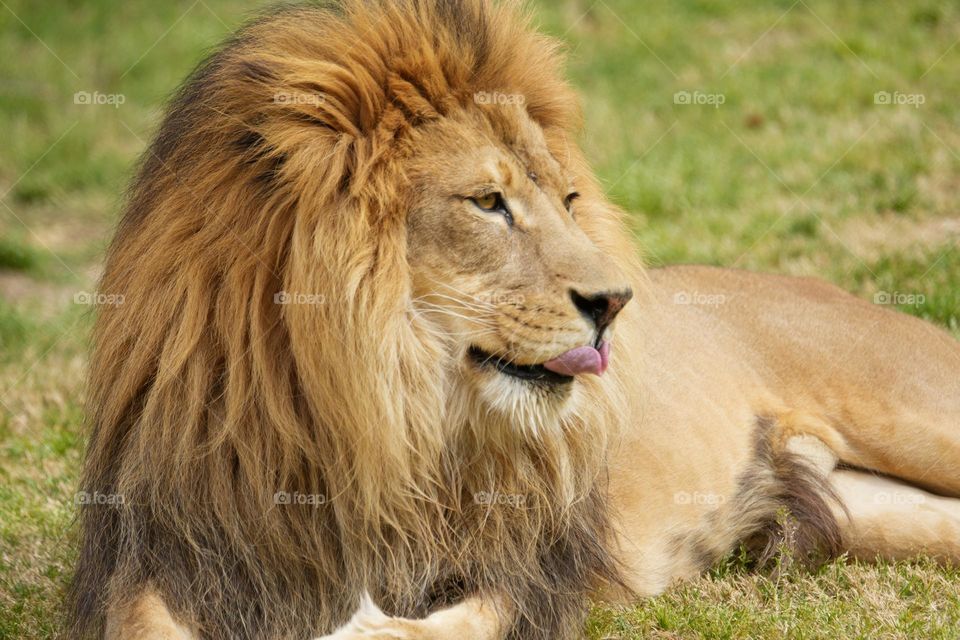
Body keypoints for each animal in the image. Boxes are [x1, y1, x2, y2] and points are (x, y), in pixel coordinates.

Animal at [67, 1, 960, 639]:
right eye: (488, 202)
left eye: (567, 199)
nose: (616, 304)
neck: (364, 412)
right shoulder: (177, 552)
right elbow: (140, 623)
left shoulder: (527, 566)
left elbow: (439, 627)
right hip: (876, 516)